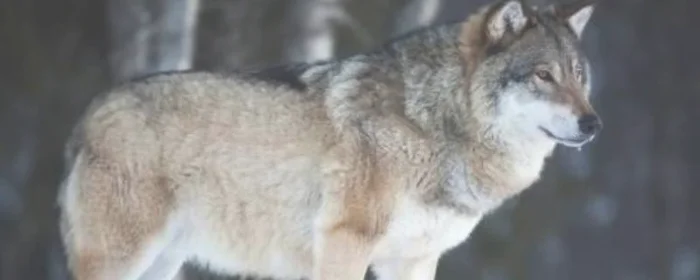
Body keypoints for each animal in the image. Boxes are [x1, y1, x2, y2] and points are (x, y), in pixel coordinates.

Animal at [57, 1, 600, 278]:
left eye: (578, 75)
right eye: (543, 75)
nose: (593, 124)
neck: (431, 123)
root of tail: (89, 112)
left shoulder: (414, 261)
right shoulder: (346, 242)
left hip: (162, 265)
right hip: (122, 260)